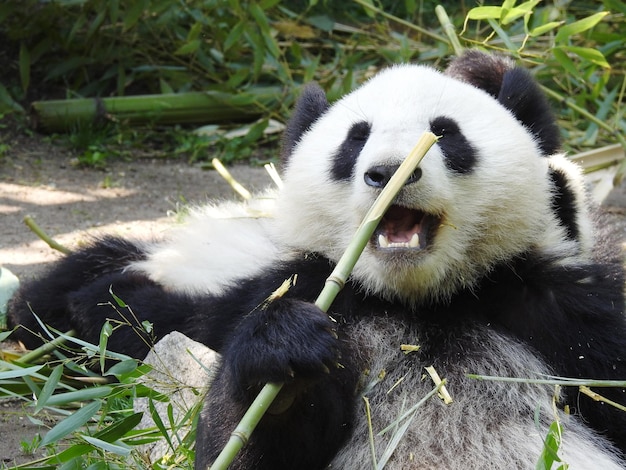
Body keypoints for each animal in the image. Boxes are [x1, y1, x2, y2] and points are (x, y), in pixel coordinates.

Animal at [7, 49, 624, 468]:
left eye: (445, 133)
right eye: (355, 139)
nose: (387, 172)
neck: (418, 303)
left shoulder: (558, 313)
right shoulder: (301, 291)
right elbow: (237, 439)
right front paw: (281, 355)